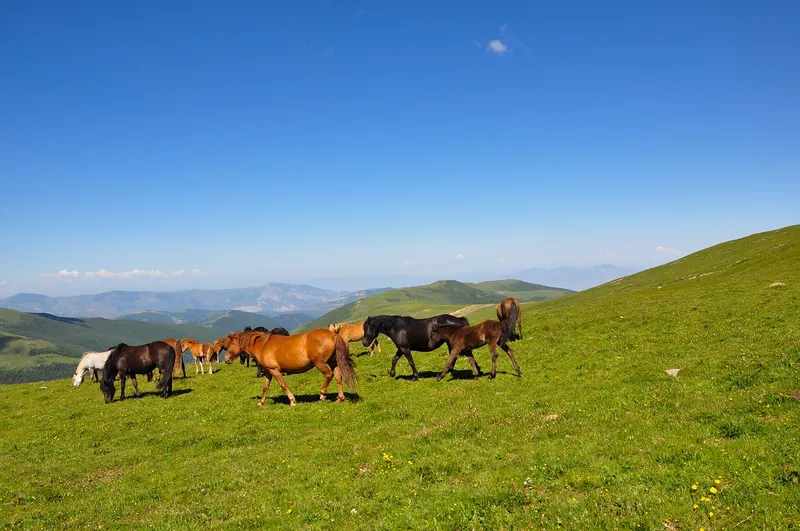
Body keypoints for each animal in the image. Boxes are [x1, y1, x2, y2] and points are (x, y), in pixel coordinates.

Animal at [220, 328, 354, 408]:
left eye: (228, 345)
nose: (226, 359)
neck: (263, 346)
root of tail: (333, 335)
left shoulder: (274, 370)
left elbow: (283, 385)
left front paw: (292, 401)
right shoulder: (268, 372)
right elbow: (265, 387)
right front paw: (261, 402)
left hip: (320, 363)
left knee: (329, 375)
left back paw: (322, 394)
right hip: (333, 362)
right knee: (338, 377)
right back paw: (339, 398)